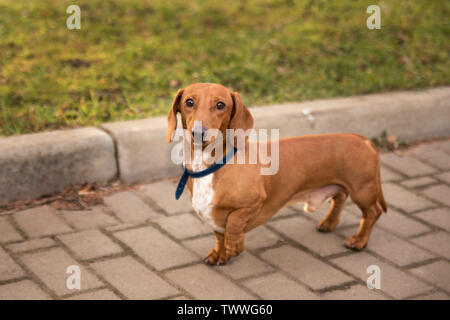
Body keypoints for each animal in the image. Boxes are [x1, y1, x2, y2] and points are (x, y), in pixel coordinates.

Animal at [166, 82, 386, 264]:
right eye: (189, 102)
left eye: (221, 105)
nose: (198, 132)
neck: (211, 166)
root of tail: (361, 138)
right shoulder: (213, 216)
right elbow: (219, 234)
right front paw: (220, 253)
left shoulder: (254, 203)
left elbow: (234, 222)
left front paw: (234, 246)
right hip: (342, 185)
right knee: (339, 197)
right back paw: (329, 222)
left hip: (362, 191)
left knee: (372, 212)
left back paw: (359, 240)